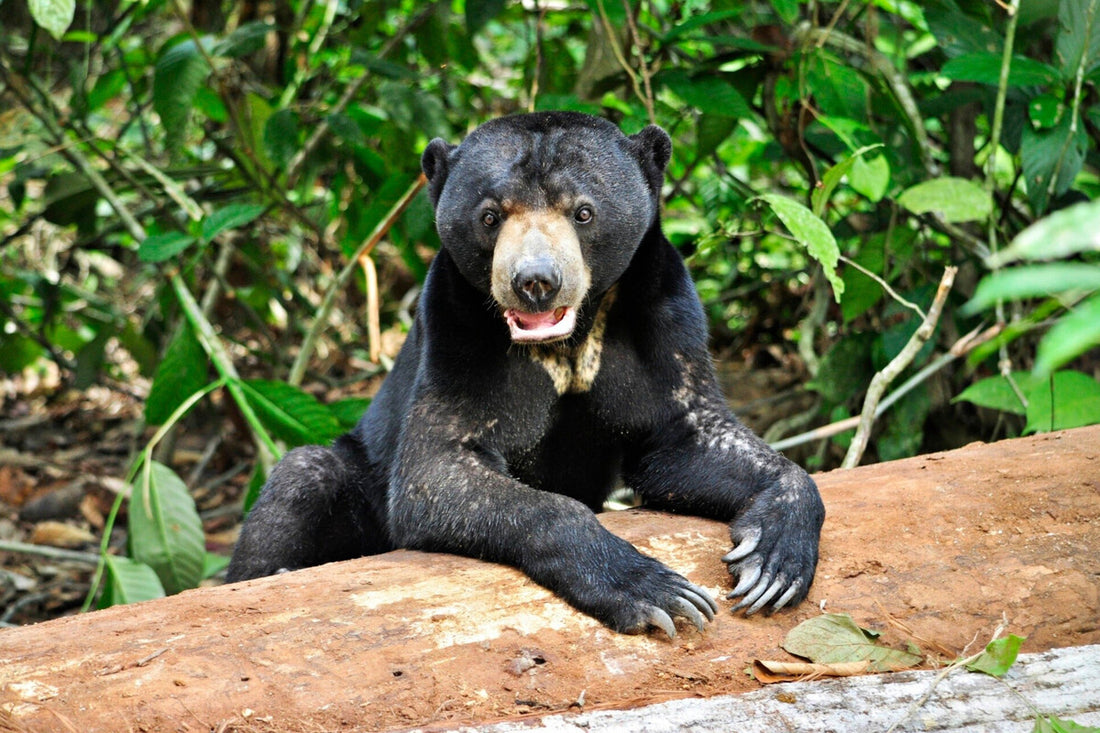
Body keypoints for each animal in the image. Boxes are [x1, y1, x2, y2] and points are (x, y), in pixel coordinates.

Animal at [226, 111, 825, 638]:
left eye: (583, 212)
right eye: (490, 216)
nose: (535, 281)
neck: (567, 339)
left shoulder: (665, 317)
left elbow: (687, 438)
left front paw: (773, 564)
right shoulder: (454, 329)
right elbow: (435, 472)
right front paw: (655, 591)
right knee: (302, 476)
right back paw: (276, 570)